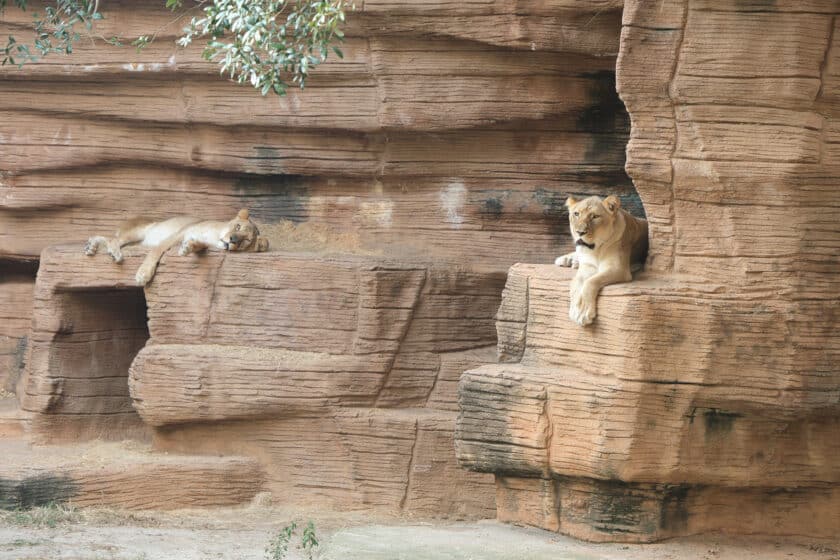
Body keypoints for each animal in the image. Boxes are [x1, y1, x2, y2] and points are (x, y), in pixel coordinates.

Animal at [84, 209, 269, 285]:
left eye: (246, 241)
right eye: (237, 227)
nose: (232, 240)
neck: (214, 237)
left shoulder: (199, 241)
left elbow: (198, 246)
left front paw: (188, 248)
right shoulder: (178, 234)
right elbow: (155, 251)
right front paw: (143, 274)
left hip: (137, 241)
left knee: (108, 240)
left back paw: (91, 246)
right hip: (139, 232)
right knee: (114, 240)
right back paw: (110, 252)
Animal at [554, 195, 648, 326]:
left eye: (595, 216)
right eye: (576, 214)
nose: (579, 233)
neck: (595, 250)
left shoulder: (619, 269)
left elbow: (590, 282)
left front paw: (583, 312)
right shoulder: (587, 265)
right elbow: (576, 282)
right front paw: (575, 309)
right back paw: (567, 259)